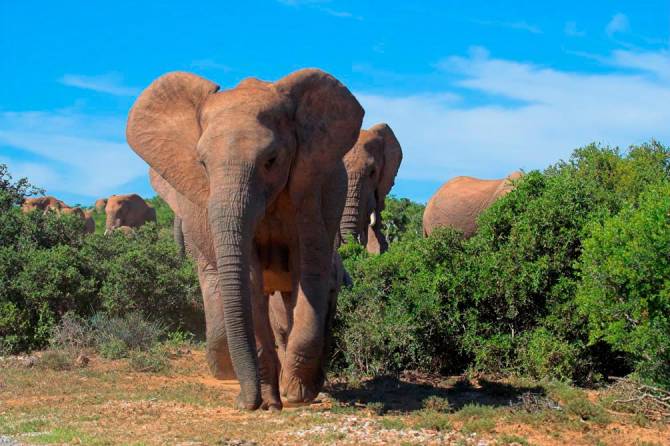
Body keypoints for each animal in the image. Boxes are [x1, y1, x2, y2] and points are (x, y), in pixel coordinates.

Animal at [128, 68, 364, 410]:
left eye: (272, 160)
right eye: (202, 164)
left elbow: (309, 271)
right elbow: (250, 281)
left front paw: (297, 395)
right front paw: (270, 401)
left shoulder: (308, 192)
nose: (244, 402)